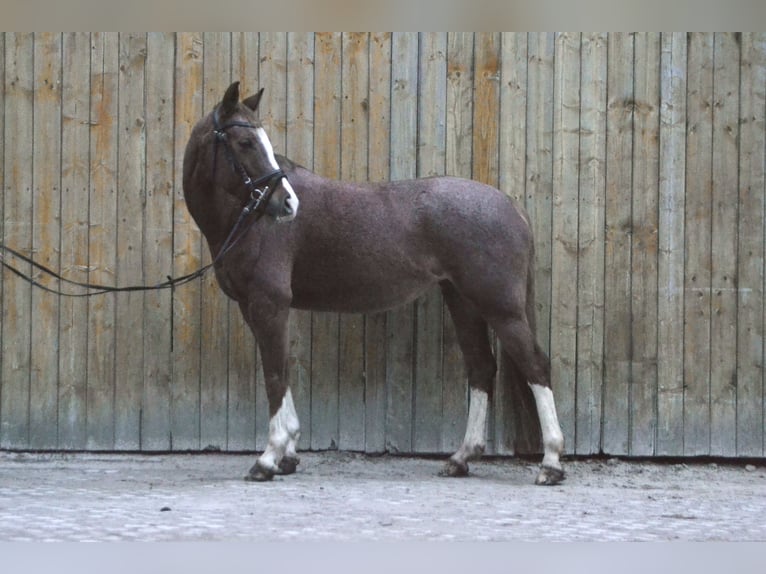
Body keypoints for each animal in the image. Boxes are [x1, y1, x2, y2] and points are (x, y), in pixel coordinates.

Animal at [180, 81, 564, 486]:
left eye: (261, 142)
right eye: (245, 142)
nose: (288, 204)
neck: (250, 220)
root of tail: (511, 206)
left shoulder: (269, 305)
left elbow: (274, 374)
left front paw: (269, 458)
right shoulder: (253, 307)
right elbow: (281, 370)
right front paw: (288, 456)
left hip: (501, 308)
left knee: (535, 366)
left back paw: (551, 463)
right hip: (463, 302)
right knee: (481, 368)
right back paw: (461, 458)